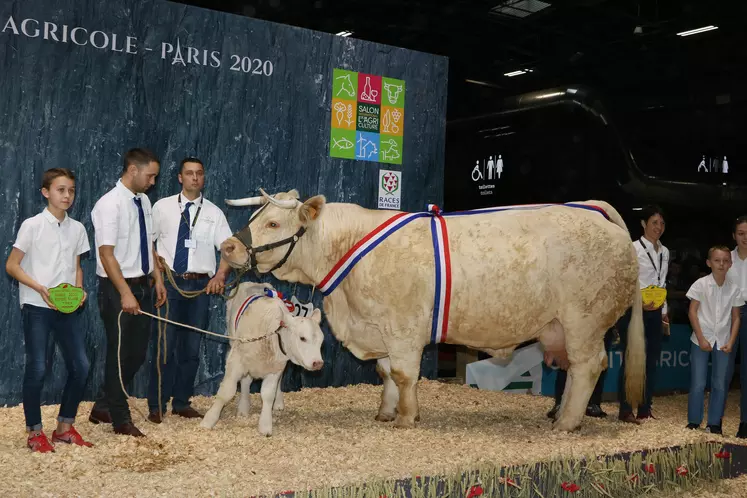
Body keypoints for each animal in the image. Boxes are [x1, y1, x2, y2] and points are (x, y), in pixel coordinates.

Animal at [200, 284, 322, 436]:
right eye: (302, 338)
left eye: (321, 341)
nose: (318, 363)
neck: (269, 336)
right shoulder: (236, 361)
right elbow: (226, 392)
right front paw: (208, 420)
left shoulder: (275, 368)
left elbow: (268, 395)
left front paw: (265, 425)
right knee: (246, 382)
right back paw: (243, 407)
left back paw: (277, 403)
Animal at [219, 191, 644, 432]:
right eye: (254, 218)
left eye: (273, 222)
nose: (226, 247)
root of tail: (595, 211)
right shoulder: (381, 329)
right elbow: (386, 372)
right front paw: (385, 412)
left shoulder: (403, 326)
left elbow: (405, 375)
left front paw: (407, 418)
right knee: (576, 369)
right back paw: (560, 416)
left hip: (584, 320)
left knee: (589, 366)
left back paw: (567, 423)